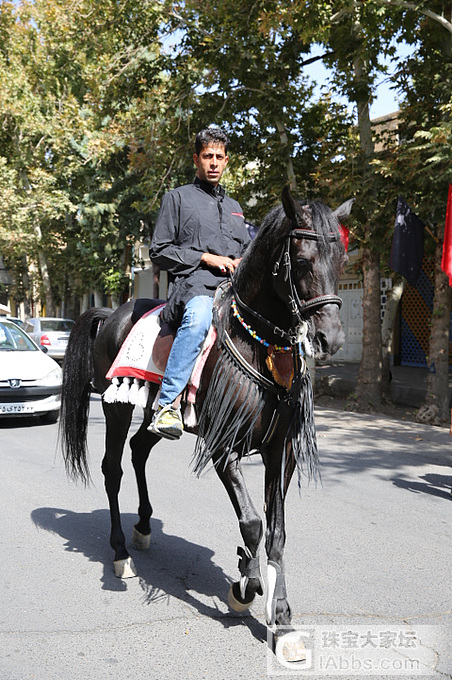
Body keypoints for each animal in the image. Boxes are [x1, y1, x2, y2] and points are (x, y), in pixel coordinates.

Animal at [58, 187, 352, 652]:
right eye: (303, 261)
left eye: (341, 259)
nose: (331, 339)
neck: (258, 345)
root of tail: (112, 313)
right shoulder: (222, 446)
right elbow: (252, 523)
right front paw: (245, 586)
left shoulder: (280, 450)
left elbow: (277, 532)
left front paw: (282, 621)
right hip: (116, 406)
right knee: (112, 469)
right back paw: (121, 553)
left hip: (155, 411)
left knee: (139, 449)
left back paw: (143, 526)